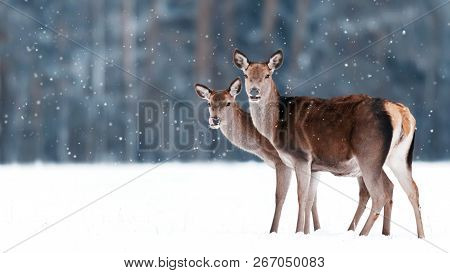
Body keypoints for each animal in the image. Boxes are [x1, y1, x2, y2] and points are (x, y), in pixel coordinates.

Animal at [195, 77, 322, 233]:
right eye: (209, 103)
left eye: (228, 102)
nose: (214, 120)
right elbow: (313, 198)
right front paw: (316, 230)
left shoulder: (283, 162)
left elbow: (280, 196)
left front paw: (273, 231)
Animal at [234, 49, 424, 238]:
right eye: (246, 75)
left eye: (267, 75)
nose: (254, 92)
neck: (275, 125)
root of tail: (401, 113)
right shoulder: (315, 167)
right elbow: (310, 199)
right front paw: (305, 232)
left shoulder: (301, 157)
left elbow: (301, 197)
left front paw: (297, 232)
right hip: (399, 157)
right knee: (411, 189)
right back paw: (420, 236)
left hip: (369, 154)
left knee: (380, 194)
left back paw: (362, 234)